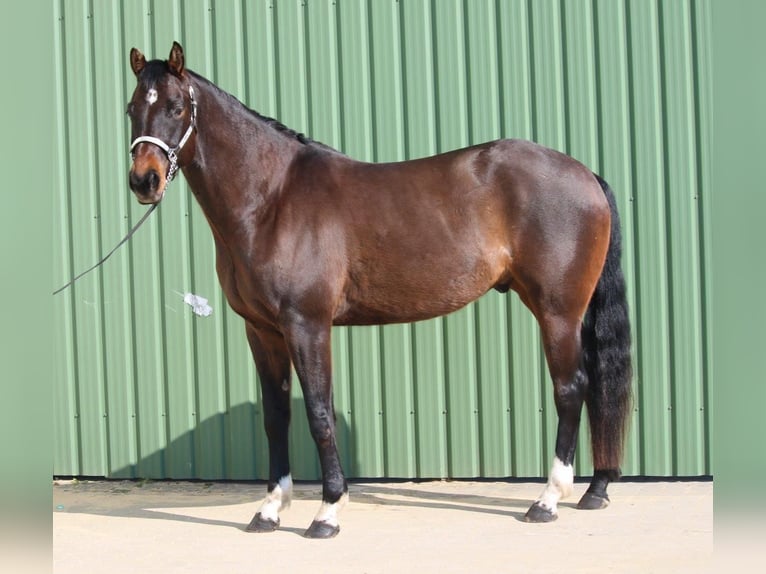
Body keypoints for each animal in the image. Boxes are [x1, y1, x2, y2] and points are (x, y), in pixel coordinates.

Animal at [127, 42, 632, 538]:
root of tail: (585, 174)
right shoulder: (263, 331)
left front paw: (327, 512)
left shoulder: (307, 325)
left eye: (175, 107)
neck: (272, 198)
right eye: (133, 108)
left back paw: (547, 500)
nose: (144, 180)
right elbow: (276, 417)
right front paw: (270, 509)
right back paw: (594, 490)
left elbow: (319, 414)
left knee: (570, 389)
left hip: (558, 311)